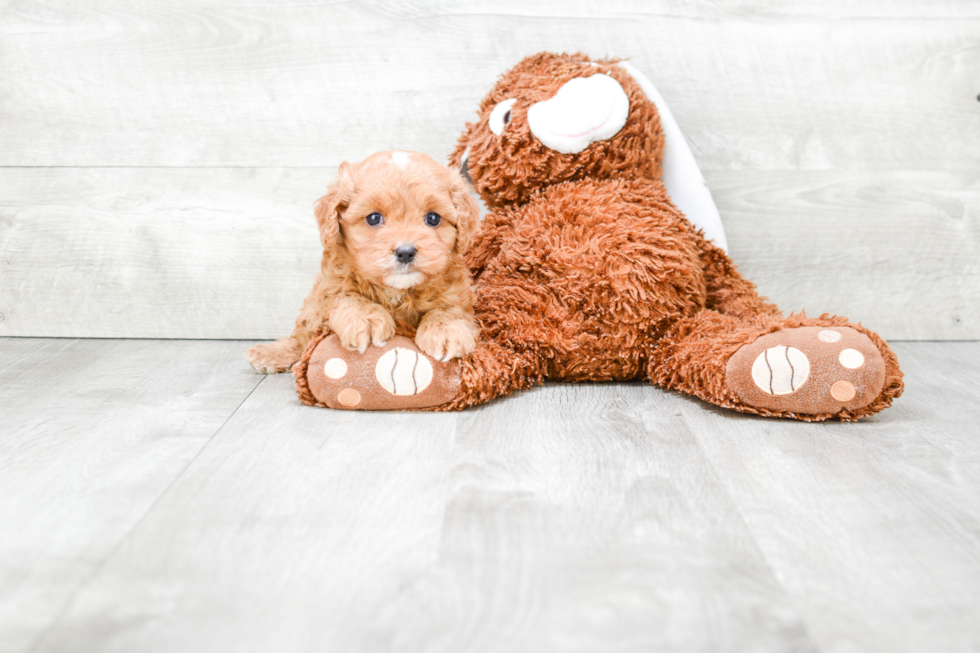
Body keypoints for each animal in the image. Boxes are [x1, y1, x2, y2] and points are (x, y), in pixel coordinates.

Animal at [247, 148, 480, 372]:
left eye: (433, 218)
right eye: (374, 218)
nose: (405, 252)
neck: (396, 291)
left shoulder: (458, 294)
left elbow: (450, 309)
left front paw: (444, 330)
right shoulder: (327, 289)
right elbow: (343, 296)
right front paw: (365, 317)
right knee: (302, 339)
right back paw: (273, 353)